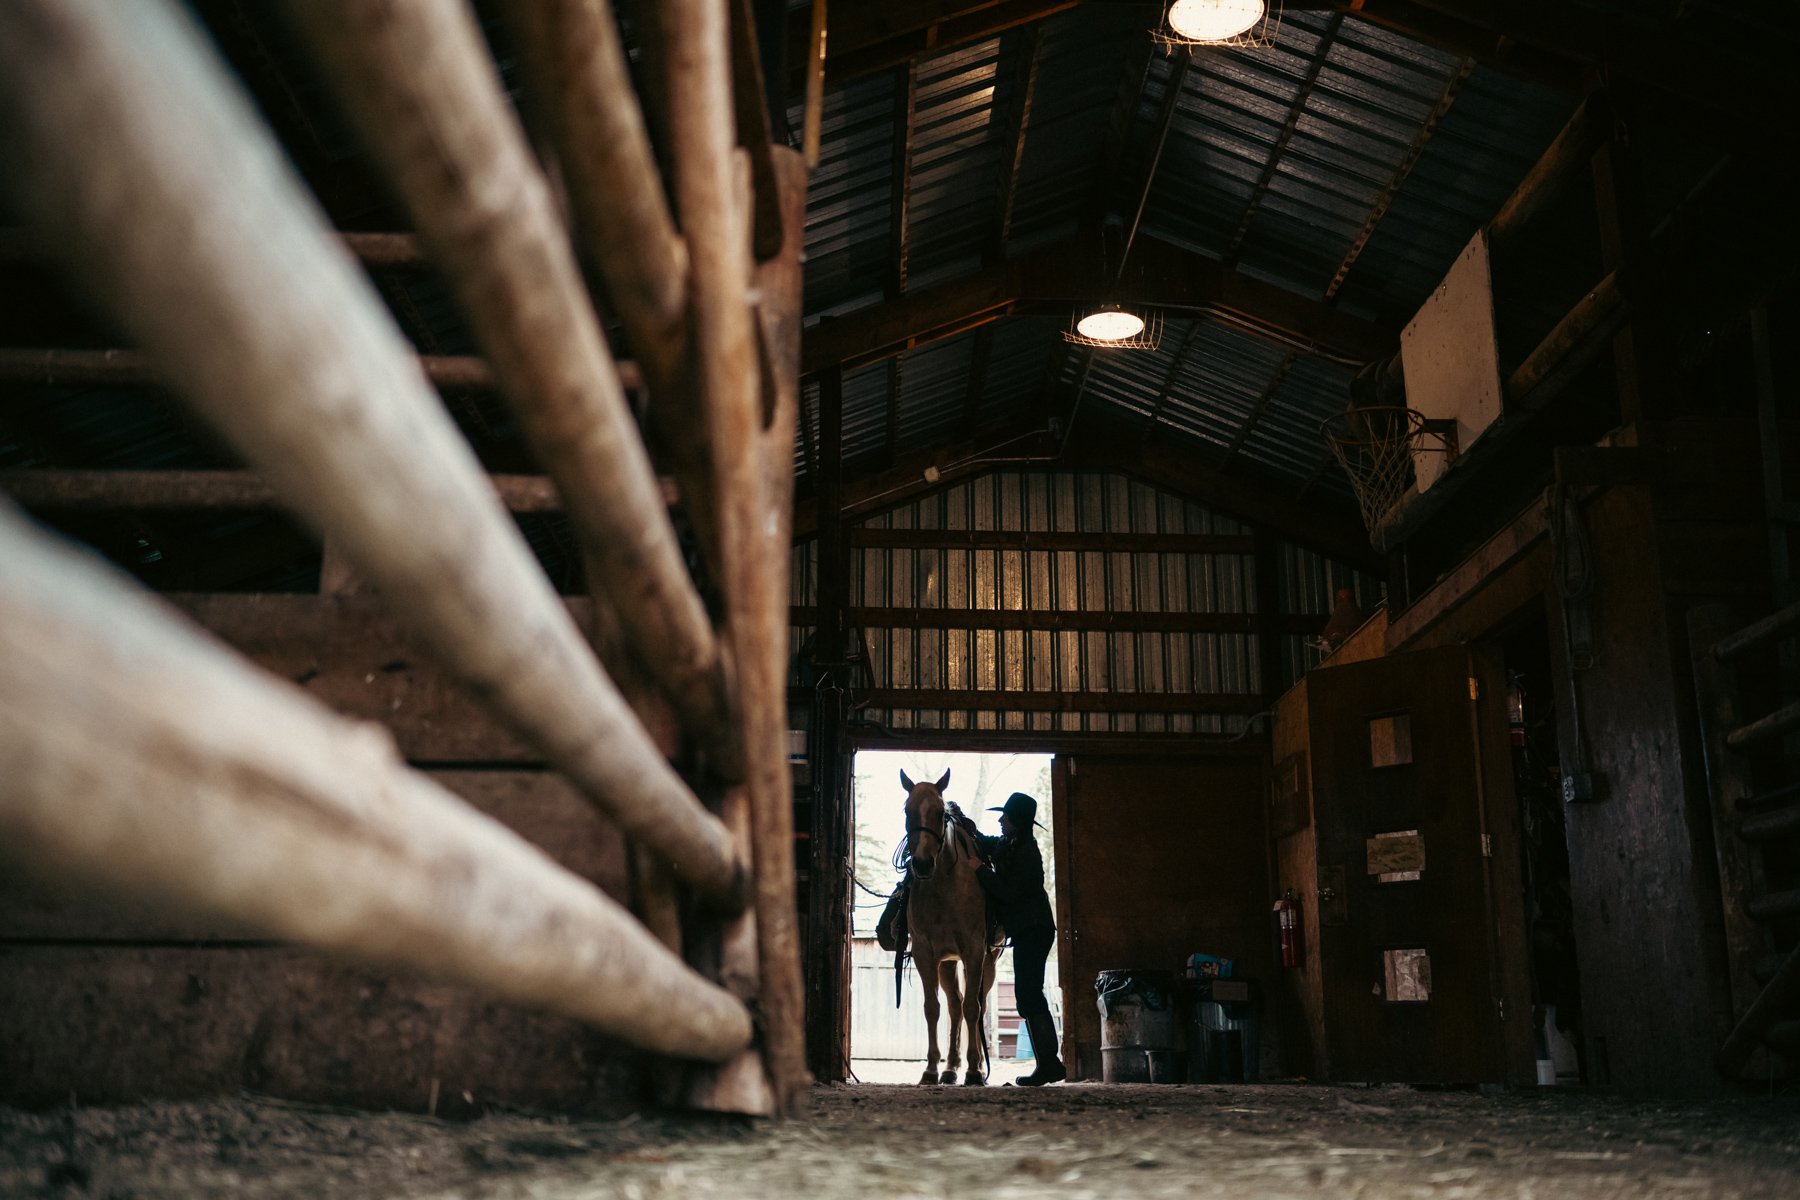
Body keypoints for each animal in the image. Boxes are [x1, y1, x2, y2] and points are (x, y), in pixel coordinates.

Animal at [901, 768, 1001, 1086]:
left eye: (939, 812)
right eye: (907, 810)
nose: (921, 864)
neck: (944, 885)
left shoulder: (974, 950)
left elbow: (973, 1007)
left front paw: (974, 1070)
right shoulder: (924, 952)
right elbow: (933, 1008)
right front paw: (931, 1068)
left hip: (987, 961)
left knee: (976, 1006)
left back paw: (975, 1065)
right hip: (947, 962)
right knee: (955, 1005)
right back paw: (950, 1067)